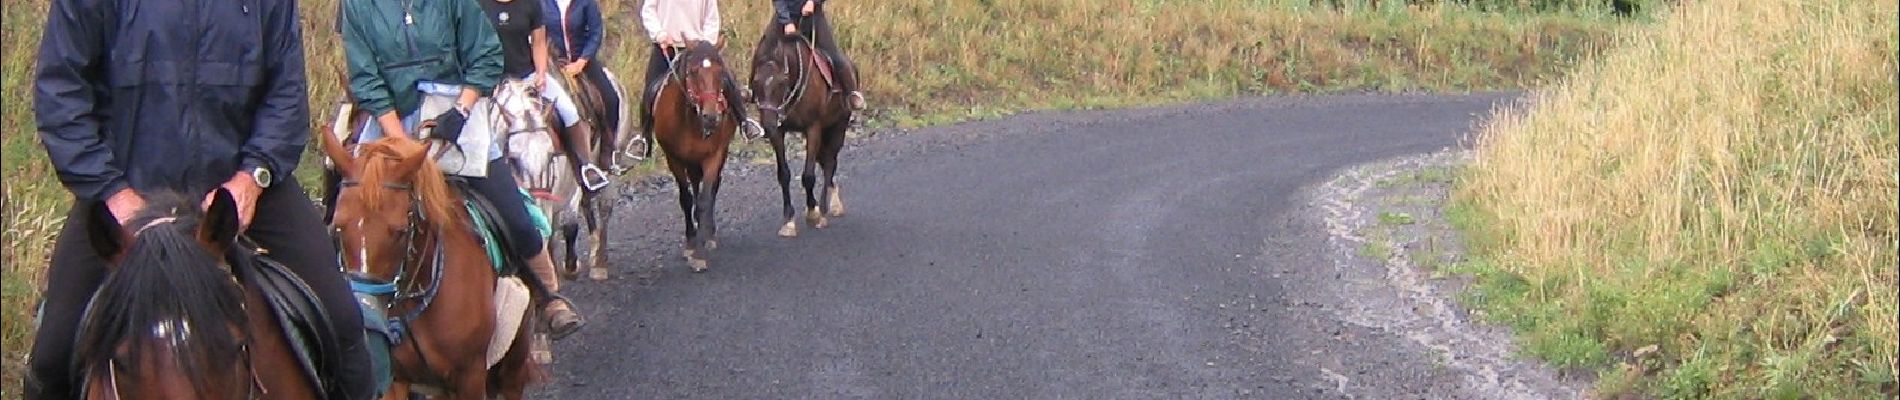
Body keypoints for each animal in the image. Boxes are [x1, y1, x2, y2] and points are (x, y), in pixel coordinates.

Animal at [319, 135, 539, 398]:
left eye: (401, 232)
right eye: (337, 227)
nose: (368, 317)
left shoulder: (471, 376)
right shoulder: (396, 379)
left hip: (513, 367)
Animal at [653, 40, 741, 271]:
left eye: (720, 71)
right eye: (693, 71)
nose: (711, 116)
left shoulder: (713, 156)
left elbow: (704, 198)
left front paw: (702, 246)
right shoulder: (673, 158)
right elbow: (686, 198)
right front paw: (691, 244)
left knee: (711, 189)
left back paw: (709, 231)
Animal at [748, 32, 855, 237]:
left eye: (781, 82)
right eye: (756, 82)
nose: (767, 124)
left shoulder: (813, 129)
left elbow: (808, 176)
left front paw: (813, 212)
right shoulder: (778, 132)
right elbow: (784, 174)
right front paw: (789, 221)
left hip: (838, 127)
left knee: (829, 164)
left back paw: (825, 209)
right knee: (826, 162)